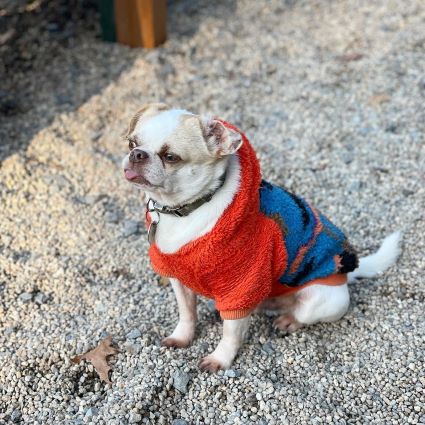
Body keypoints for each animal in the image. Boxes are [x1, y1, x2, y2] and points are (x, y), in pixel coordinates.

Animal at [121, 102, 400, 372]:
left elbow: (230, 334)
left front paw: (220, 359)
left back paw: (289, 320)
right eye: (131, 143)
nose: (137, 154)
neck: (184, 211)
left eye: (171, 157)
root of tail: (346, 275)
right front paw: (182, 337)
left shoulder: (240, 288)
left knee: (302, 315)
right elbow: (187, 314)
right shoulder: (179, 281)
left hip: (319, 300)